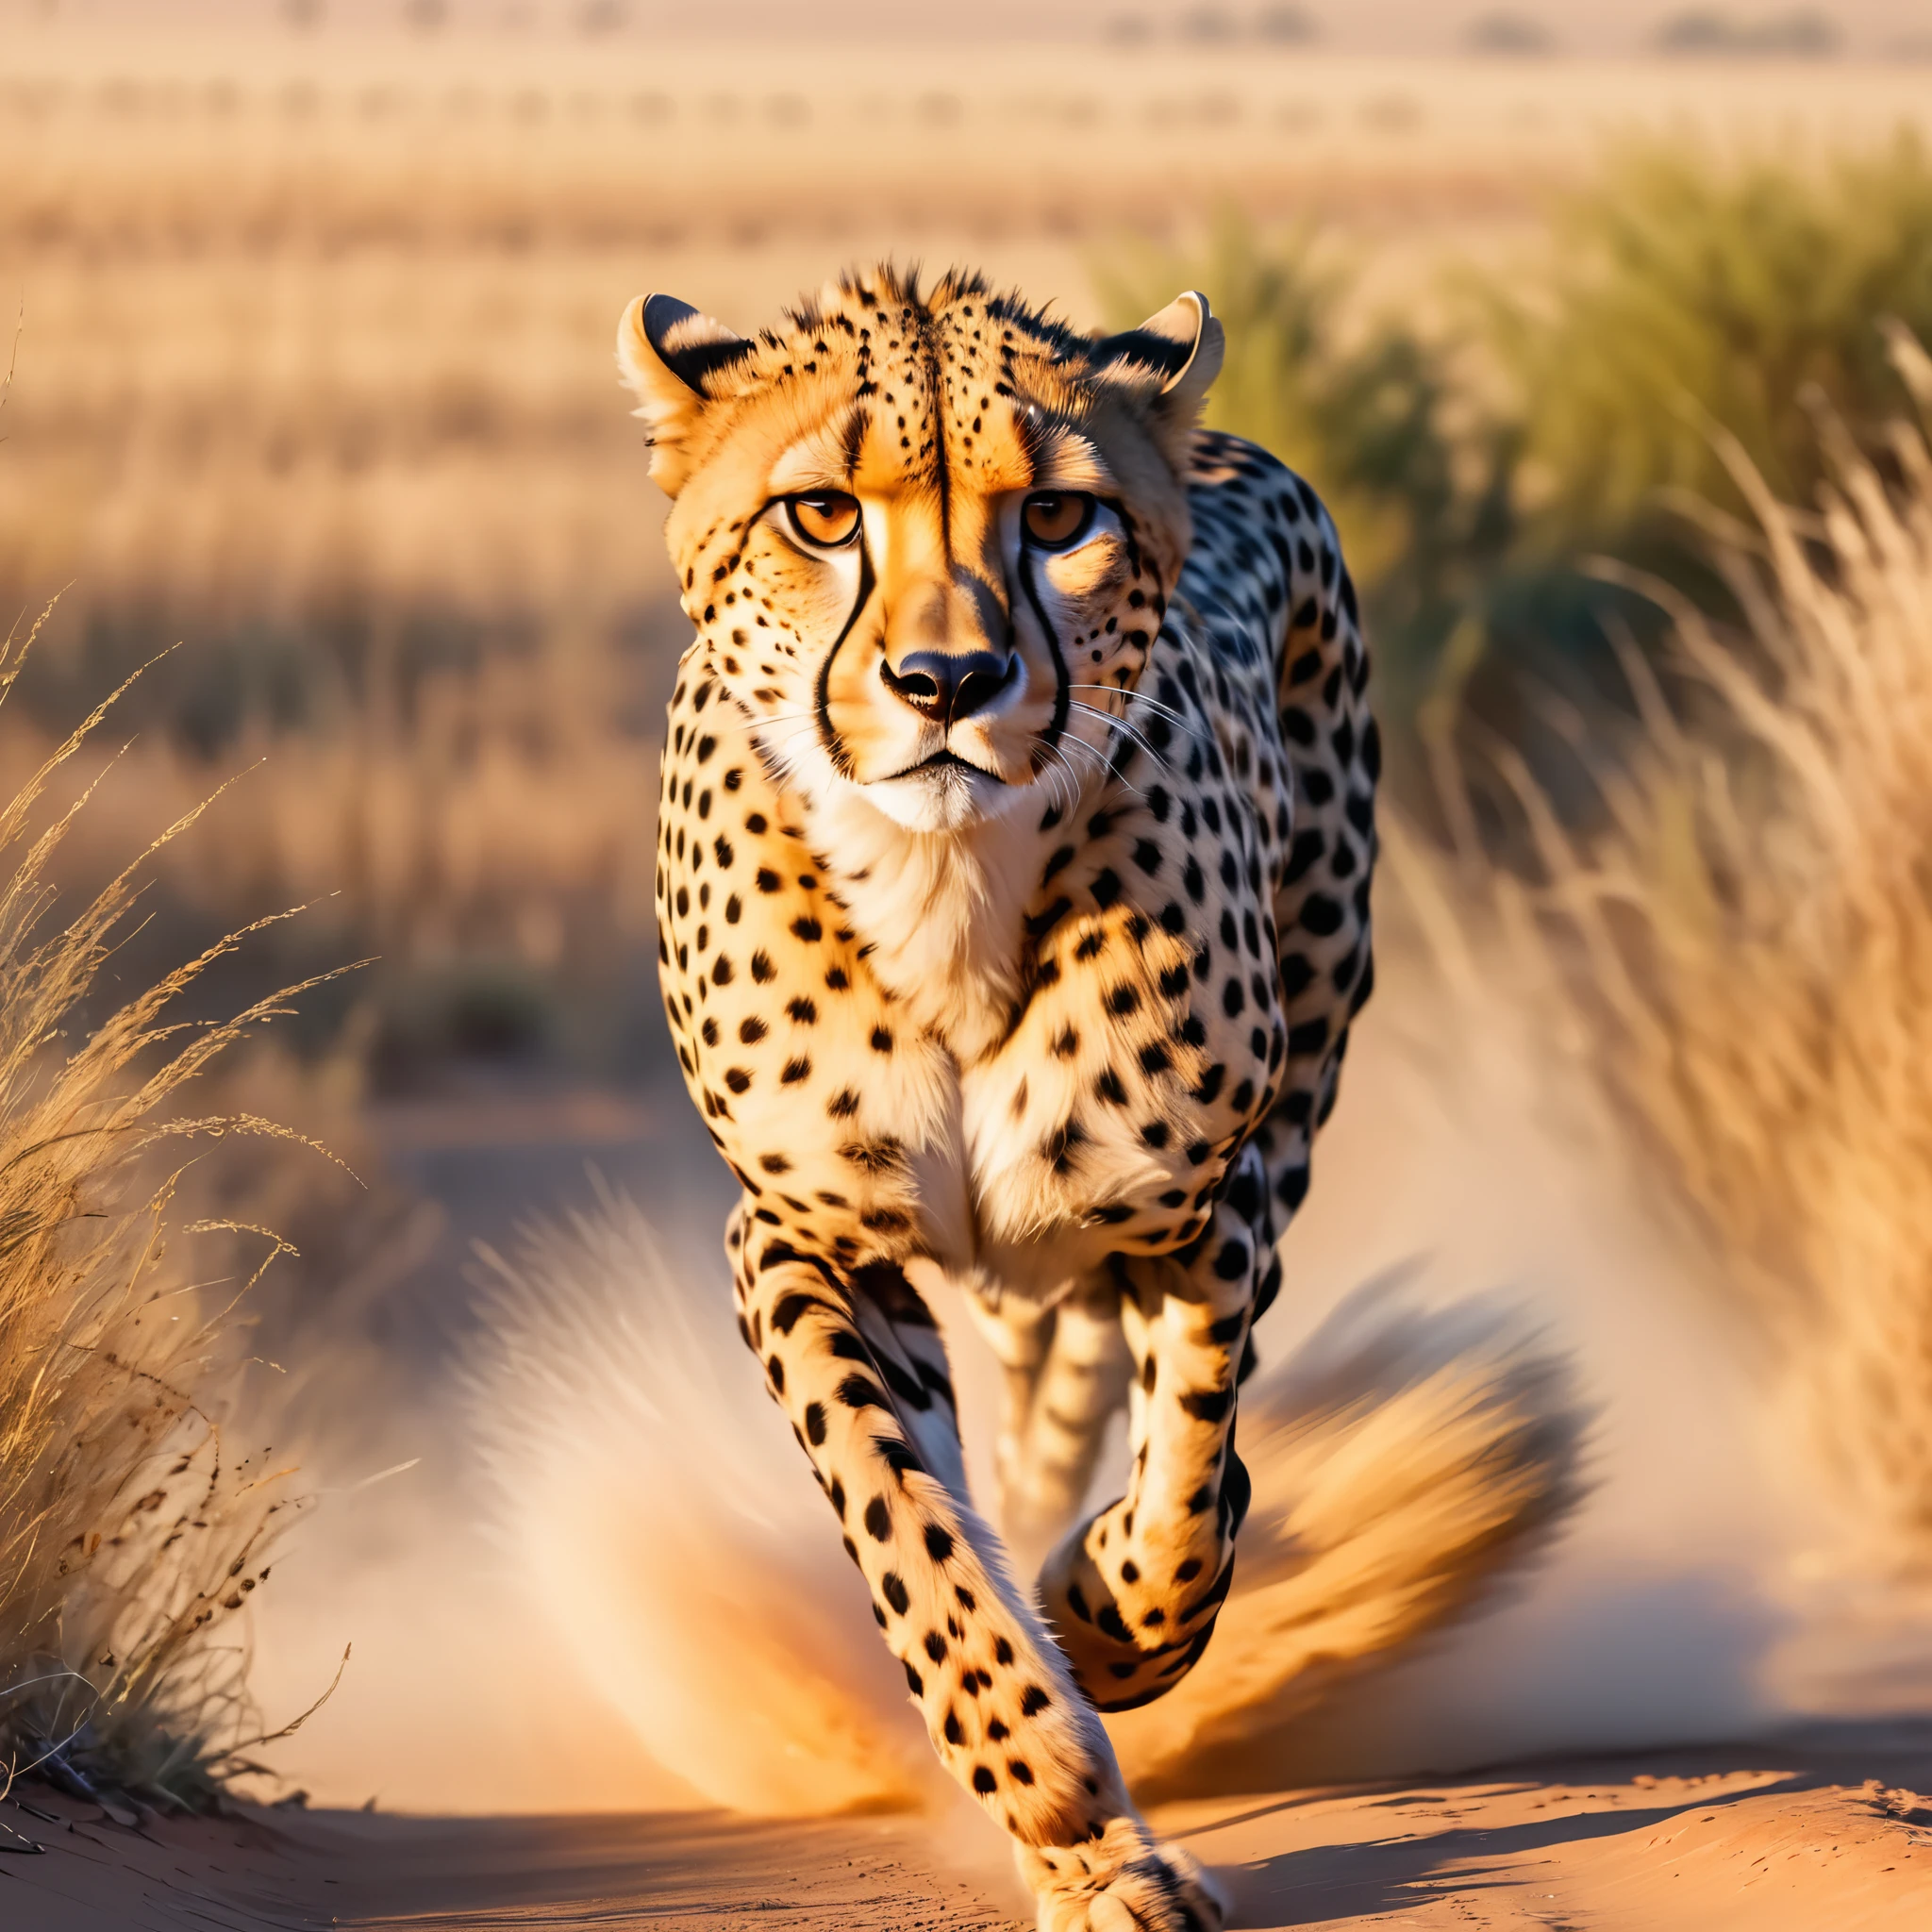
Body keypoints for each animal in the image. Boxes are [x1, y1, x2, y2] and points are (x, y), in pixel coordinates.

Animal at [618, 268, 1375, 1932]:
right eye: (821, 514)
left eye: (1058, 517)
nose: (947, 682)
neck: (945, 888)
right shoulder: (801, 1237)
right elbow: (912, 1534)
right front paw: (1059, 1799)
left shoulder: (1199, 1213)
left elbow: (1185, 1487)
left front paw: (1100, 1618)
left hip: (1303, 1077)